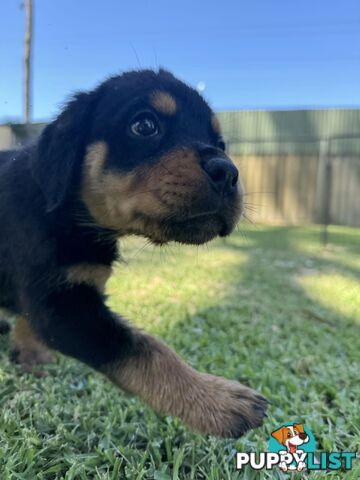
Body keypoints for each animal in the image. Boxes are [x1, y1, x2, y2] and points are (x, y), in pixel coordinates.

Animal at [0, 68, 266, 438]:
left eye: (222, 143)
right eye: (144, 125)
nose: (228, 173)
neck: (68, 212)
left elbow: (29, 318)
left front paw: (29, 351)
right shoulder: (63, 305)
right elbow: (147, 348)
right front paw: (214, 399)